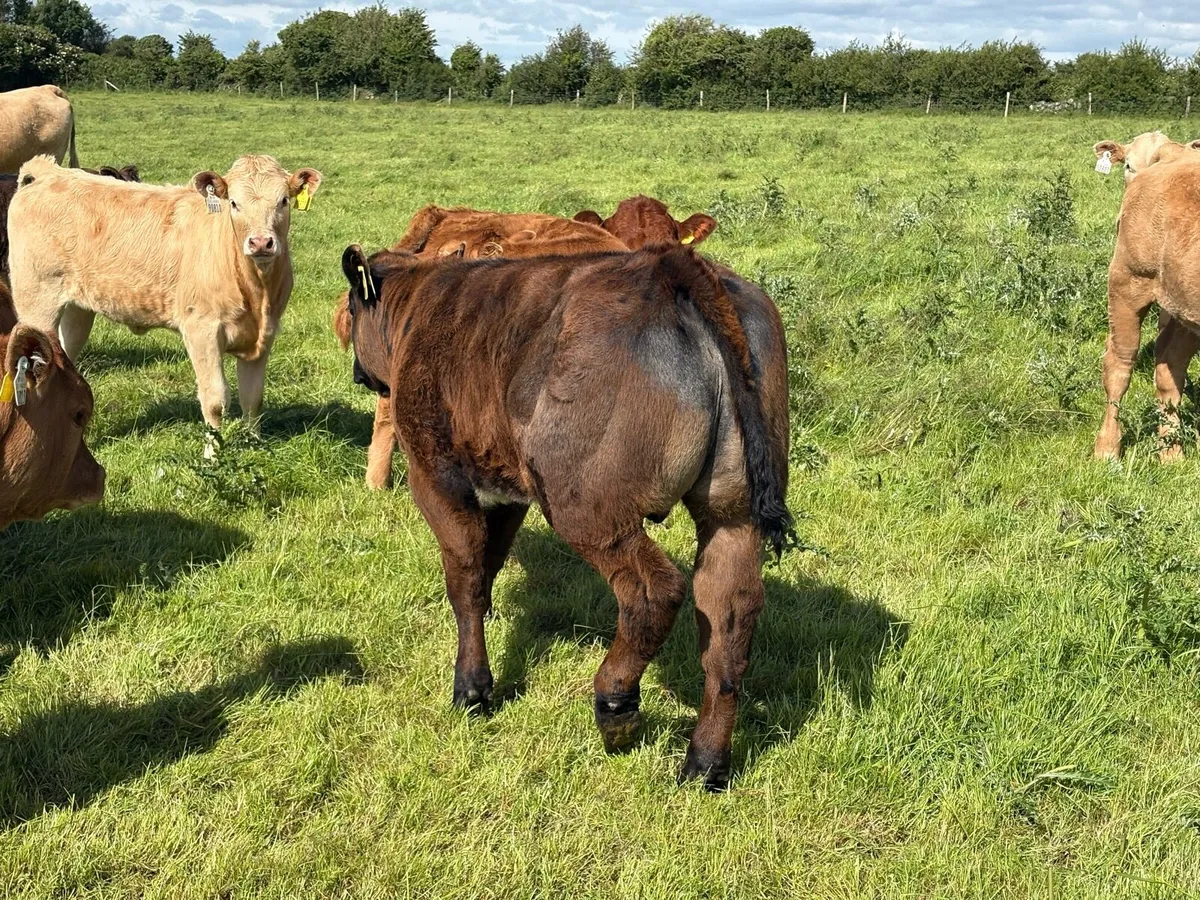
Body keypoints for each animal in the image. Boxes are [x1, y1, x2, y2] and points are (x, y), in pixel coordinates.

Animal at [341, 241, 792, 791]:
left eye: (351, 307)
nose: (358, 372)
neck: (421, 300)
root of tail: (666, 263)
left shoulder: (437, 476)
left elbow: (465, 577)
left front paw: (472, 689)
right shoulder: (505, 490)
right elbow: (487, 567)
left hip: (584, 505)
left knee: (654, 590)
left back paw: (616, 703)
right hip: (732, 514)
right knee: (731, 613)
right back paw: (705, 762)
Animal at [1095, 155, 1200, 461]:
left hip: (1184, 305)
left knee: (1170, 364)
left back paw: (1172, 454)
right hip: (1128, 280)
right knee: (1119, 363)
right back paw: (1107, 450)